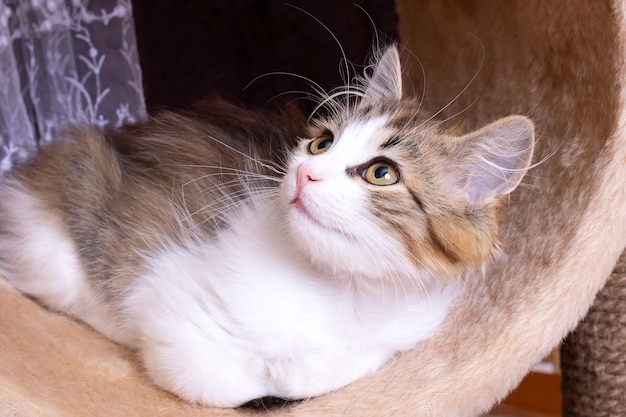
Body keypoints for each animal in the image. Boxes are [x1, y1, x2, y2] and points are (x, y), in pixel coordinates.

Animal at [0, 46, 532, 406]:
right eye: (322, 143)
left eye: (381, 173)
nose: (304, 172)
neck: (344, 290)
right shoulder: (170, 302)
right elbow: (223, 379)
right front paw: (274, 372)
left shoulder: (406, 331)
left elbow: (360, 360)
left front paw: (301, 367)